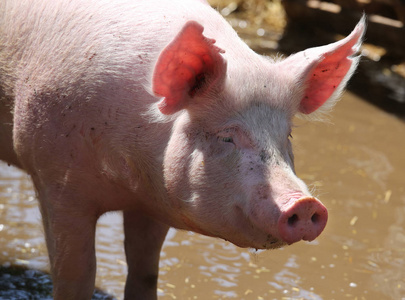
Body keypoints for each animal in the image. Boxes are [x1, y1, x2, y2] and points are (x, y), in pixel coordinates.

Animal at [0, 0, 364, 298]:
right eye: (227, 137)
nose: (305, 204)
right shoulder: (55, 181)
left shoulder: (153, 203)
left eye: (285, 136)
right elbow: (76, 275)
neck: (126, 175)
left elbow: (146, 272)